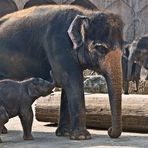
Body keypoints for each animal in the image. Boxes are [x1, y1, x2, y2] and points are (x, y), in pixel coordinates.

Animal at [0, 5, 123, 140]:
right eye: (100, 48)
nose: (109, 131)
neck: (86, 13)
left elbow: (68, 86)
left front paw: (65, 134)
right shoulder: (59, 45)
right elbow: (71, 81)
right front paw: (82, 137)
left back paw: (3, 131)